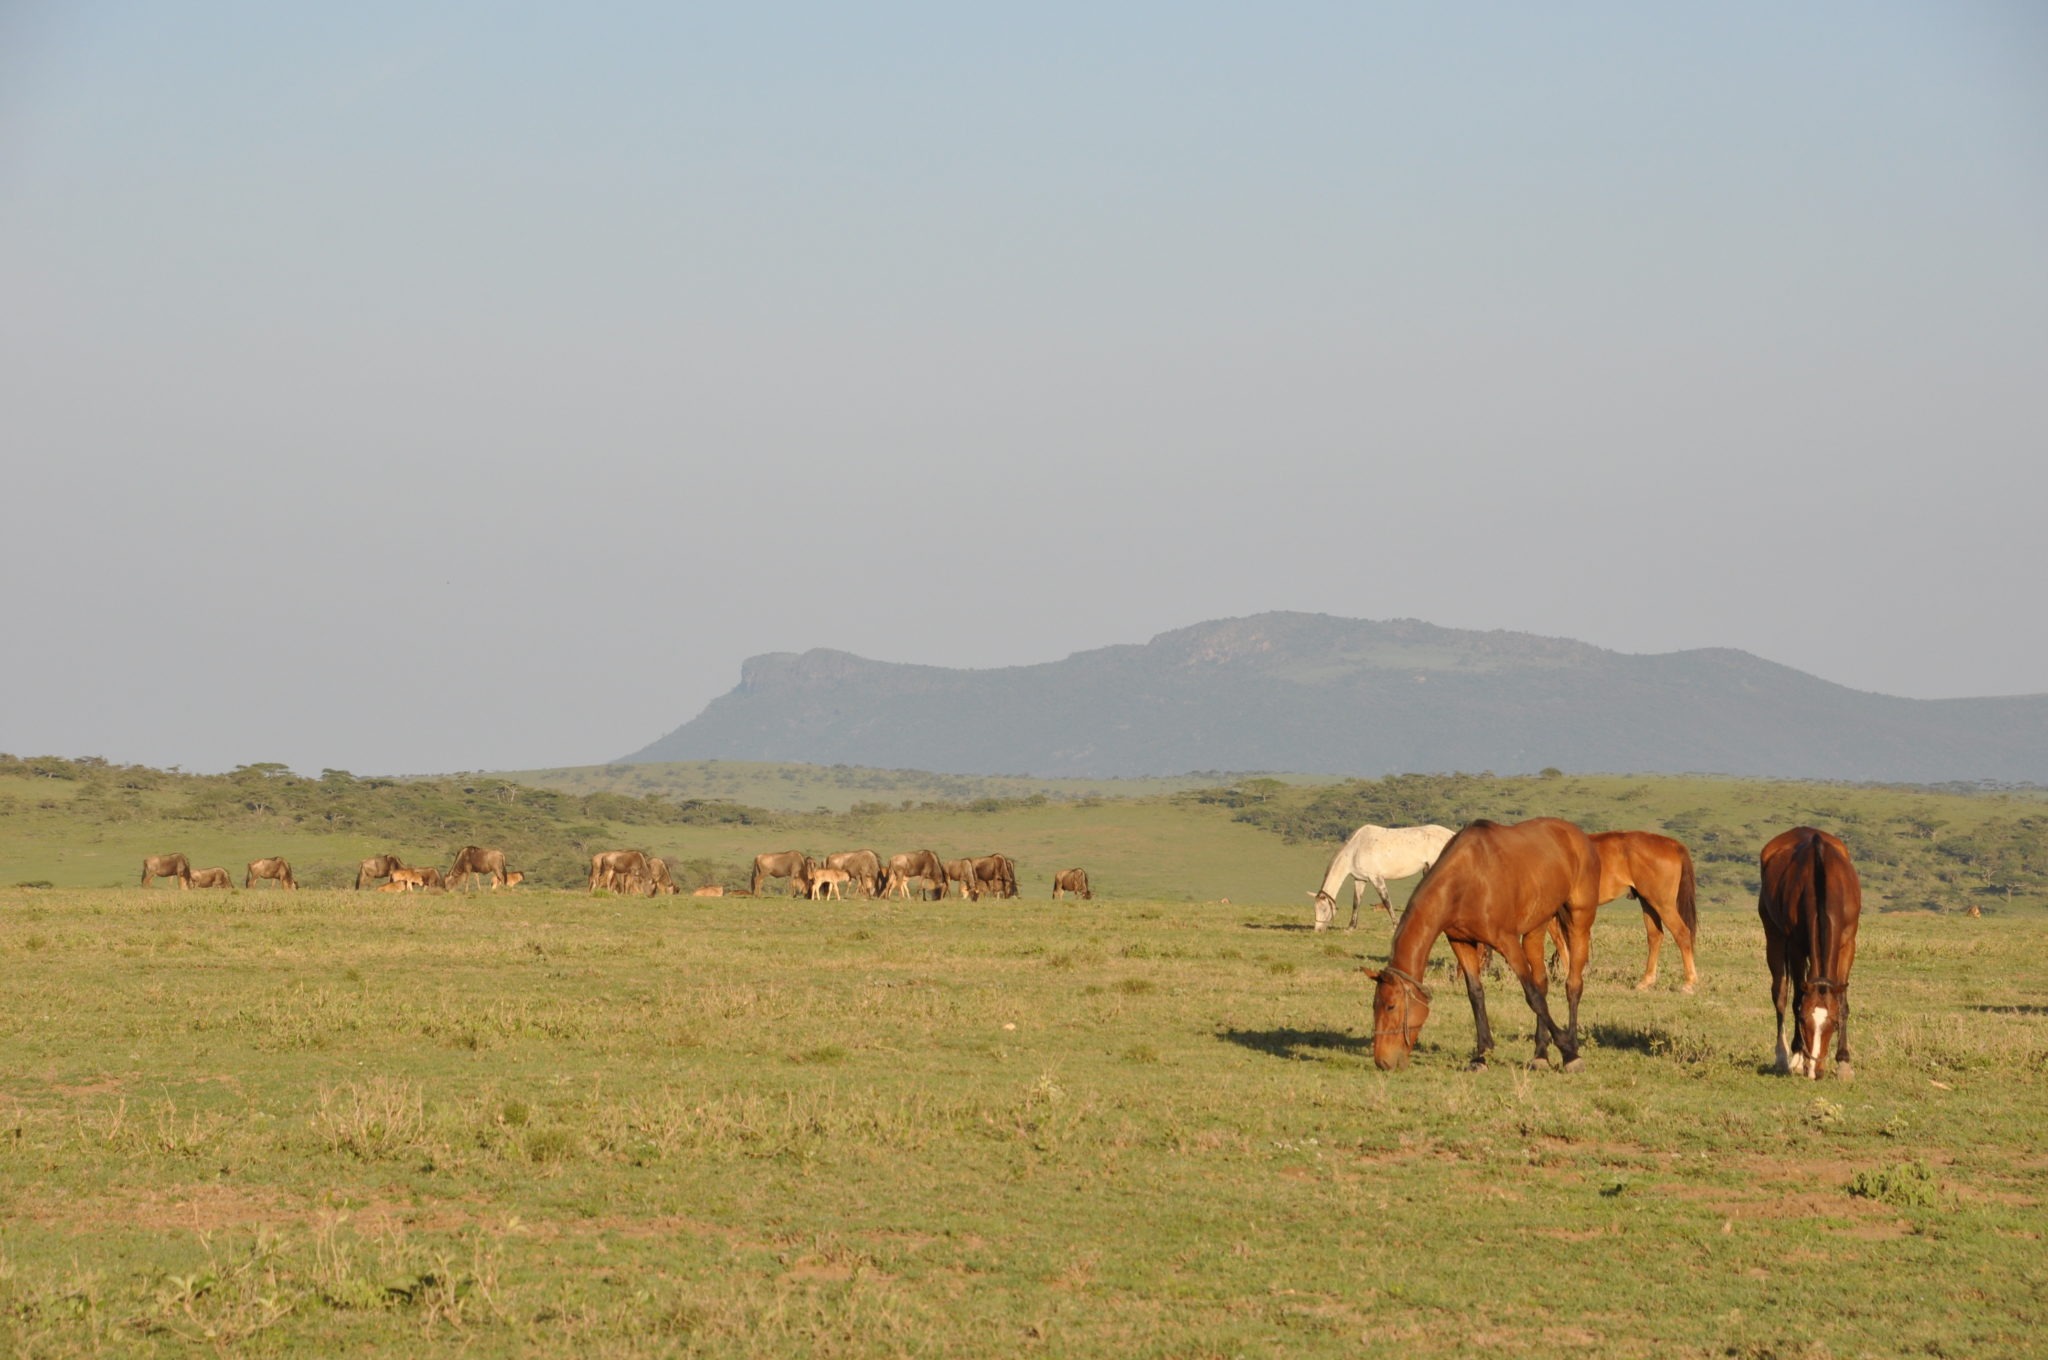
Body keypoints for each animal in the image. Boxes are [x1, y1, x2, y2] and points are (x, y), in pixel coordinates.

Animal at [1308, 824, 1456, 930]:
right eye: (1314, 909)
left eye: (1323, 908)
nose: (1318, 930)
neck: (1355, 849)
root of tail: (1452, 834)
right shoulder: (1360, 879)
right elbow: (1356, 902)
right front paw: (1351, 927)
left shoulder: (1376, 878)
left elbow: (1386, 902)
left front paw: (1396, 925)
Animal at [1365, 818, 1604, 1072]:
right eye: (1374, 1006)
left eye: (1391, 1006)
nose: (1382, 1061)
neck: (1467, 879)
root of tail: (1578, 835)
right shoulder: (1461, 942)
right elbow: (1476, 994)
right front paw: (1480, 1056)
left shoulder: (1507, 942)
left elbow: (1533, 997)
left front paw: (1568, 1052)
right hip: (1536, 928)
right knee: (1542, 982)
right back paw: (1540, 1054)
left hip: (1579, 921)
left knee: (1573, 985)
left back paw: (1573, 1047)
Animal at [1759, 827, 1862, 1080]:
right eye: (1804, 1020)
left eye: (1833, 1023)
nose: (1815, 1071)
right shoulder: (1795, 946)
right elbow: (1796, 1000)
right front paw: (1797, 1056)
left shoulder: (1848, 944)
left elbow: (1843, 1001)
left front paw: (1844, 1061)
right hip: (1774, 937)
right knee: (1780, 996)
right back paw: (1783, 1056)